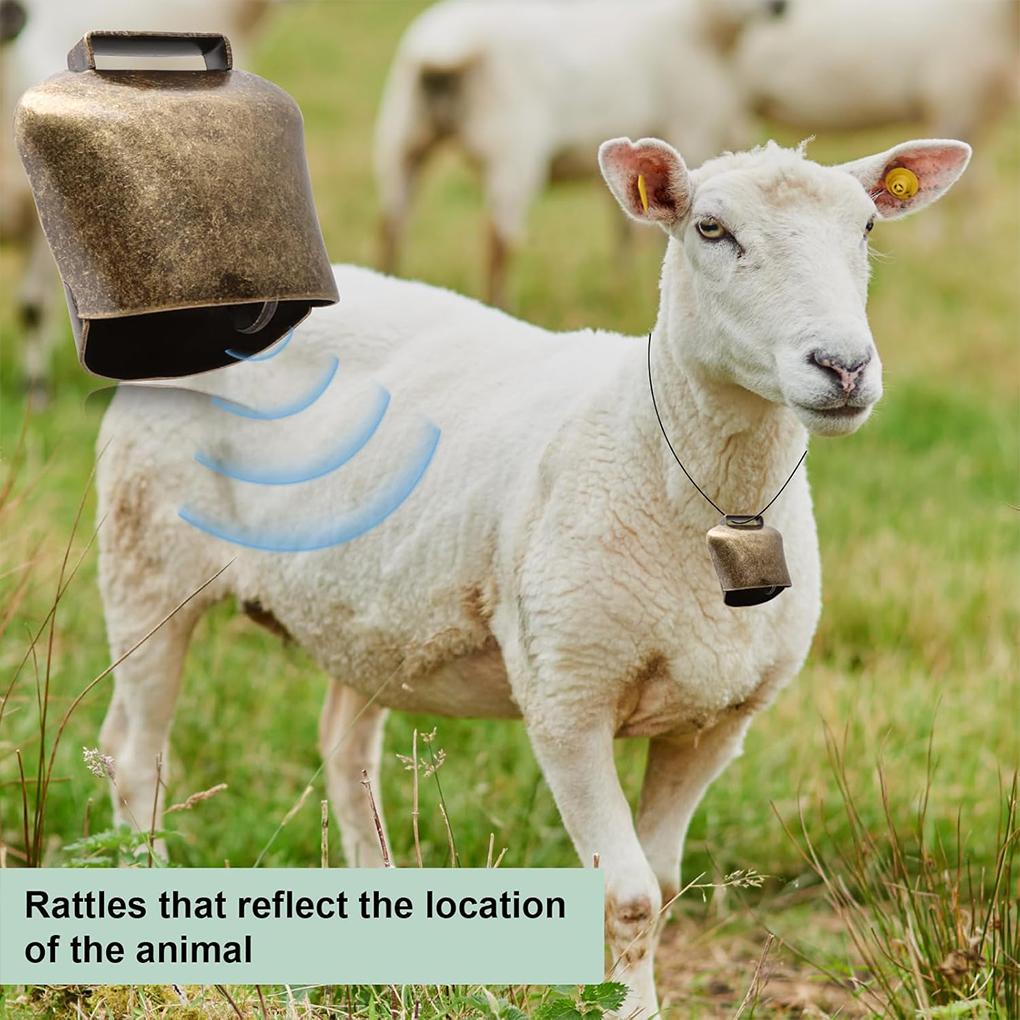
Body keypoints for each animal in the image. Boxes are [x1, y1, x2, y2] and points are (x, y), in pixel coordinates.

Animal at [95, 134, 969, 1015]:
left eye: (866, 227)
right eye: (712, 229)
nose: (844, 366)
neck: (685, 476)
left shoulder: (717, 721)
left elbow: (662, 884)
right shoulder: (567, 698)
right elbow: (629, 898)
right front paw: (628, 1007)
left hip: (361, 616)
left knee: (343, 754)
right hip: (146, 561)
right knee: (135, 757)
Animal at [374, 0, 787, 308]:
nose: (778, 8)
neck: (697, 25)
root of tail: (445, 45)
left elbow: (624, 227)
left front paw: (622, 286)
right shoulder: (690, 129)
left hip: (402, 133)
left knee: (392, 222)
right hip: (513, 146)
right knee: (498, 238)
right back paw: (500, 304)